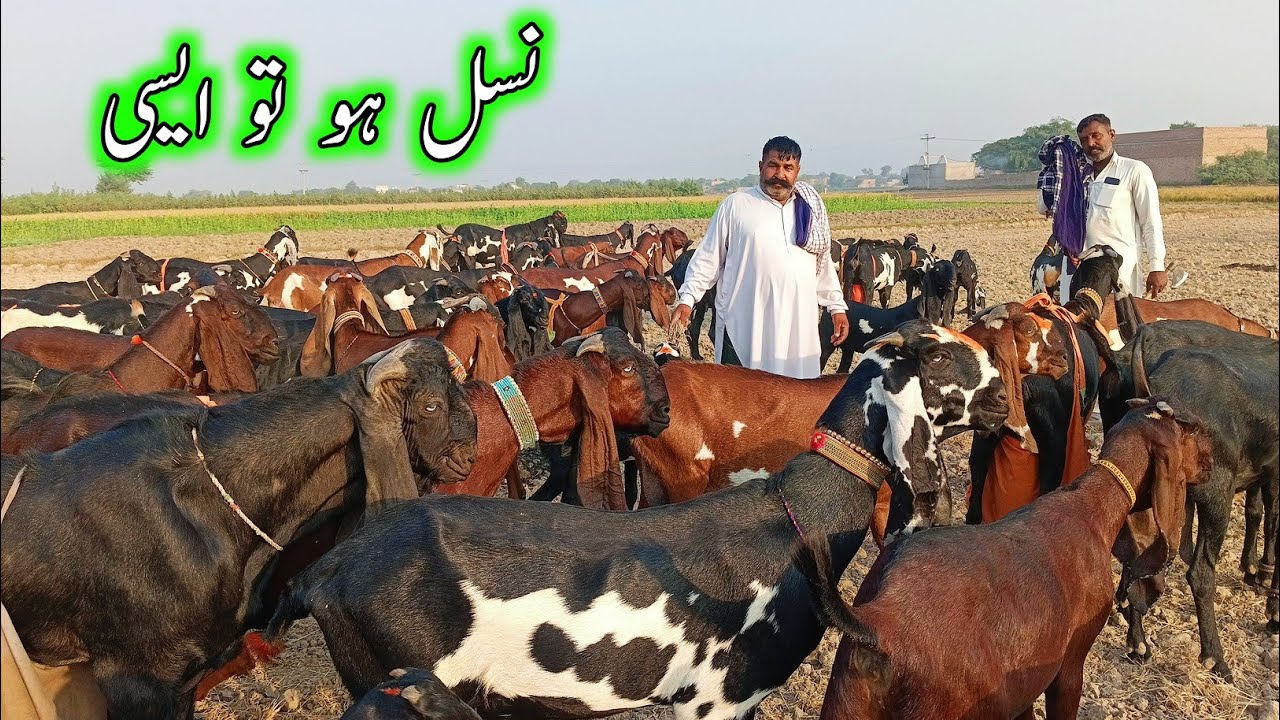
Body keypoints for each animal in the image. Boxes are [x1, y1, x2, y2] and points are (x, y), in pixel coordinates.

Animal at [814, 398, 1210, 720]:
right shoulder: (1069, 665)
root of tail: (879, 619)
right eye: (1189, 432)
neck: (1092, 510)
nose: (1210, 460)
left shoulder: (1024, 684)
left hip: (846, 703)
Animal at [1099, 320, 1279, 681]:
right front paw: (1273, 606)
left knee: (1136, 559)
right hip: (1216, 495)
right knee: (1200, 574)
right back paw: (1215, 658)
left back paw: (1138, 645)